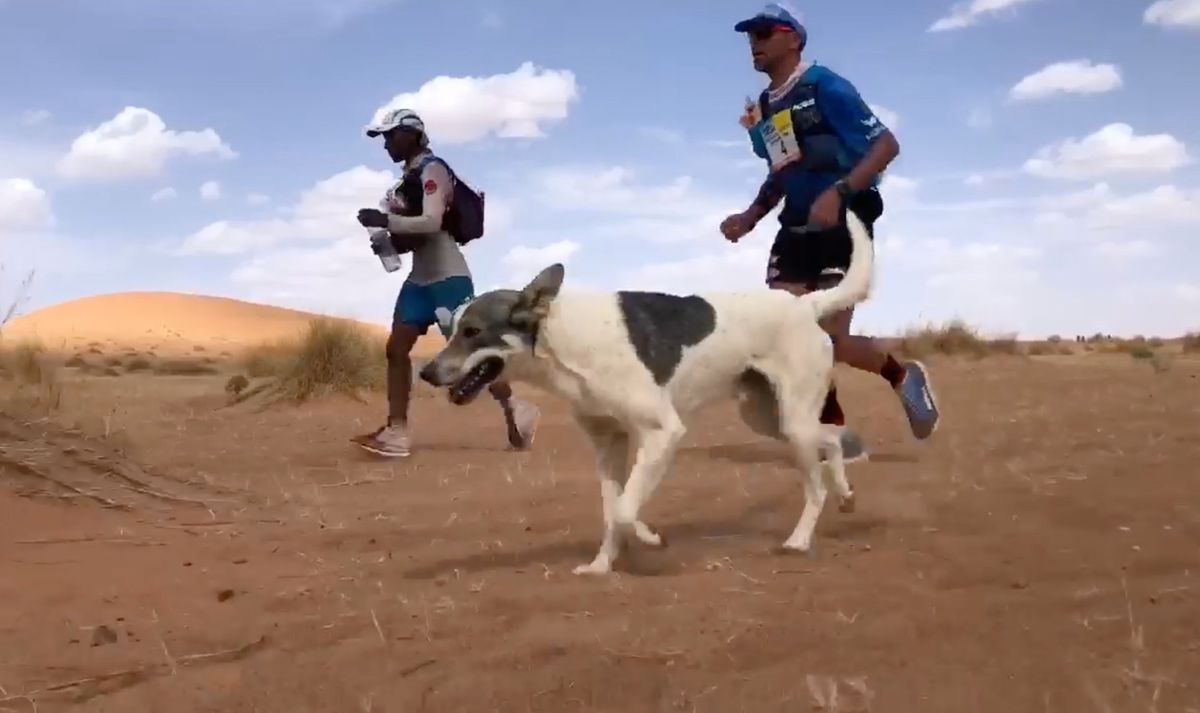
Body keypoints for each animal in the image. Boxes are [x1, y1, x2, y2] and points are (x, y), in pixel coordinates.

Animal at [420, 210, 873, 571]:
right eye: (450, 329)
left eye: (472, 332)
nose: (425, 372)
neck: (564, 340)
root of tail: (805, 305)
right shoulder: (608, 444)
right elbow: (612, 509)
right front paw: (602, 566)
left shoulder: (661, 432)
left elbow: (623, 508)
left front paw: (651, 538)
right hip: (768, 418)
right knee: (830, 441)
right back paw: (847, 495)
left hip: (791, 419)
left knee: (815, 483)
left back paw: (799, 539)